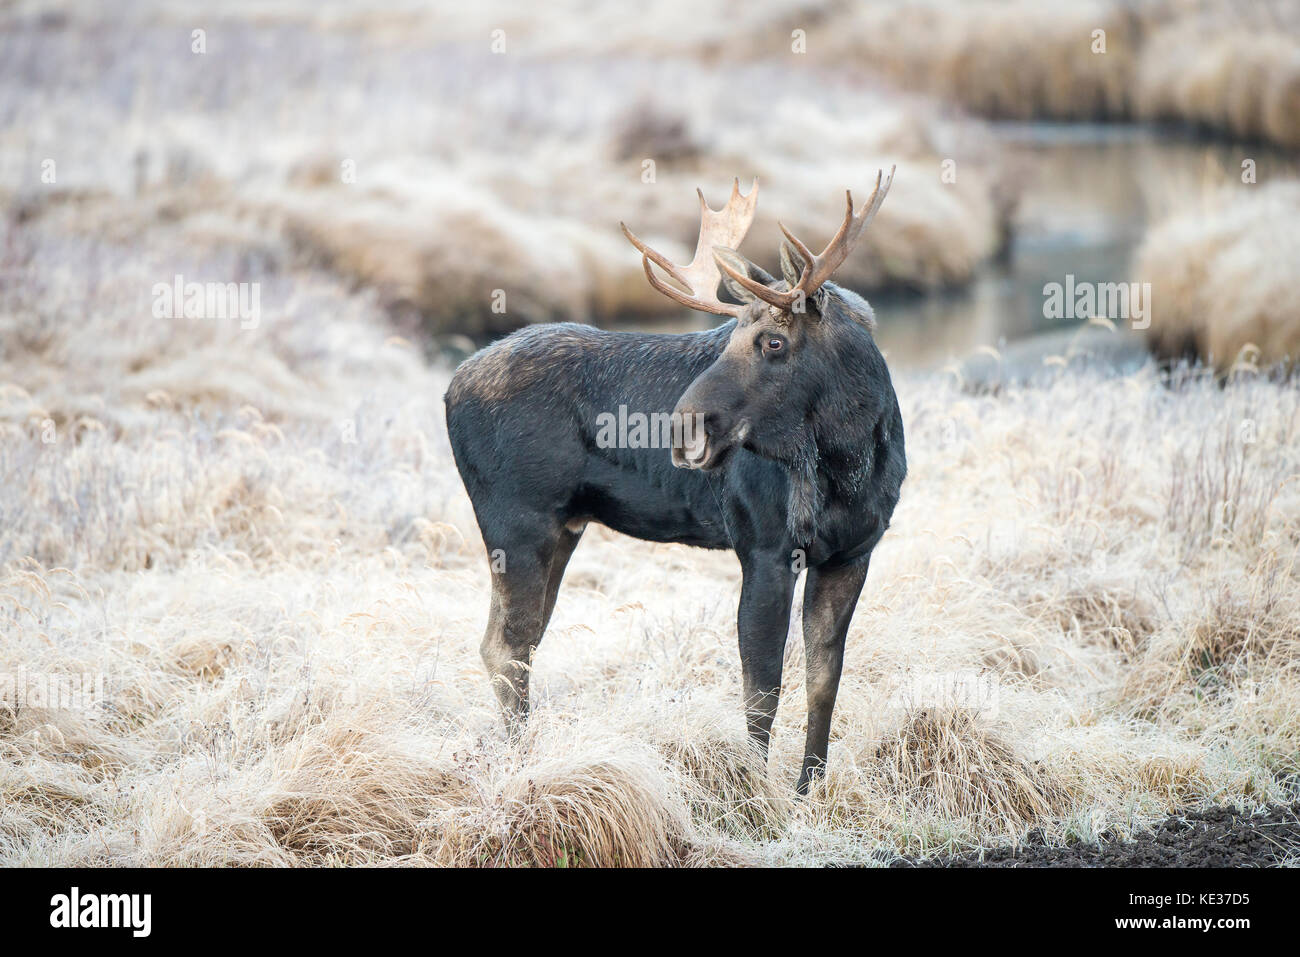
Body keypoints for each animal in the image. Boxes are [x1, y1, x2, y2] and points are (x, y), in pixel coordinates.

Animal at [447, 170, 904, 790]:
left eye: (774, 341)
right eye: (727, 336)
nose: (681, 428)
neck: (852, 459)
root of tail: (449, 388)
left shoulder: (854, 552)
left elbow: (822, 683)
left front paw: (809, 789)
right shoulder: (764, 547)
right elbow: (761, 691)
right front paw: (756, 794)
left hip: (563, 527)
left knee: (521, 641)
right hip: (516, 522)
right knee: (506, 645)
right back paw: (525, 763)